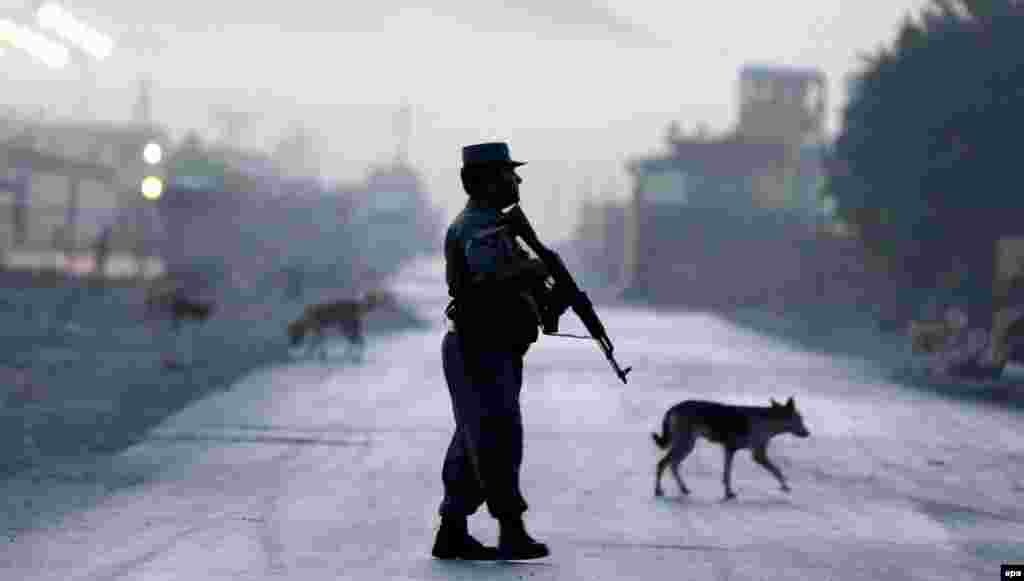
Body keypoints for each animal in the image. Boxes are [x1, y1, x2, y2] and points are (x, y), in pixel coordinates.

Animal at [655, 397, 806, 502]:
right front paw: (785, 486)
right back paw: (658, 490)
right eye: (800, 419)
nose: (807, 432)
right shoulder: (758, 455)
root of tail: (674, 408)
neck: (768, 420)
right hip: (685, 444)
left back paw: (683, 488)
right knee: (663, 463)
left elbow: (726, 474)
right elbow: (777, 470)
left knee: (672, 464)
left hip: (686, 445)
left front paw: (728, 493)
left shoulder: (730, 450)